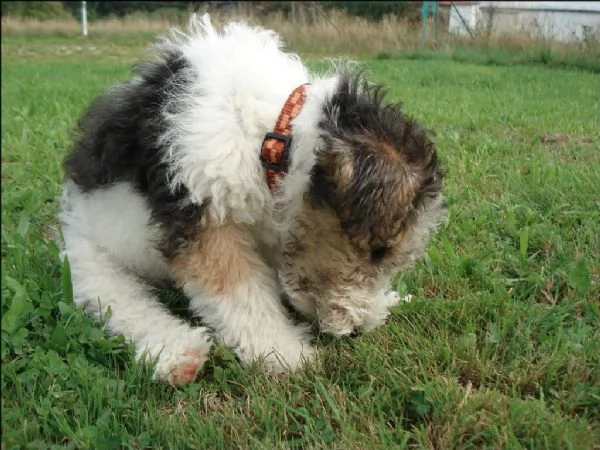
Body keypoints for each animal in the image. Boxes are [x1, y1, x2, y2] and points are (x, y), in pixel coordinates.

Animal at [59, 16, 446, 384]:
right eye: (379, 251)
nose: (355, 329)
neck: (273, 136)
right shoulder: (206, 218)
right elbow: (242, 295)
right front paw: (286, 353)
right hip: (92, 264)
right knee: (124, 305)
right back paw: (179, 355)